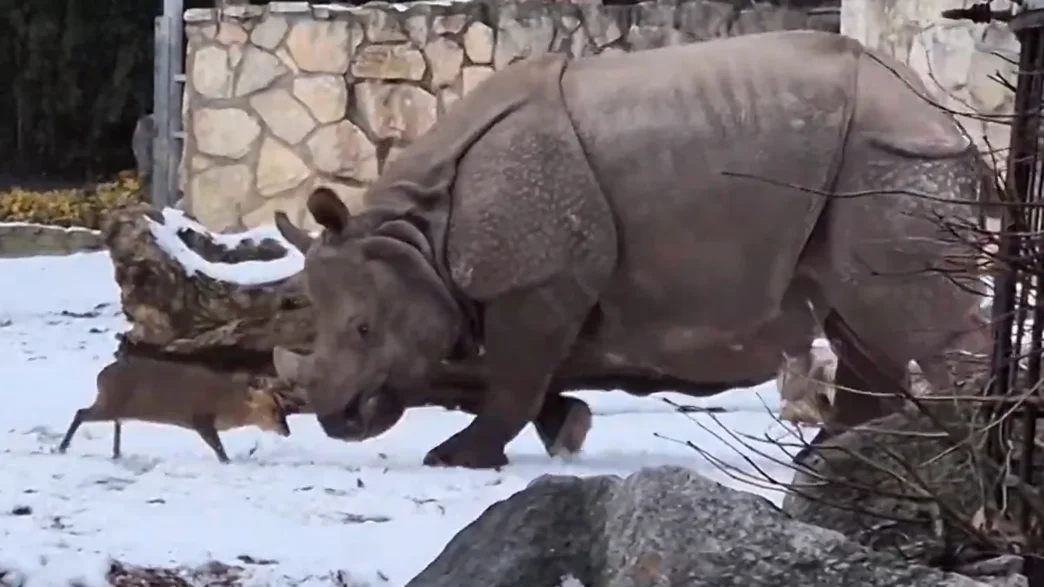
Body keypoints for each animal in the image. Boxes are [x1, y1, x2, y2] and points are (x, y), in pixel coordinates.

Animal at [272, 30, 992, 469]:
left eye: (363, 329)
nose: (336, 419)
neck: (419, 235)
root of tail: (946, 116)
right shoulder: (542, 279)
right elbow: (513, 372)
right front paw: (566, 430)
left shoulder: (537, 279)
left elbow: (511, 372)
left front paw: (456, 458)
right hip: (870, 164)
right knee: (860, 319)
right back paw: (828, 459)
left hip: (894, 160)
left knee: (908, 317)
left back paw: (966, 449)